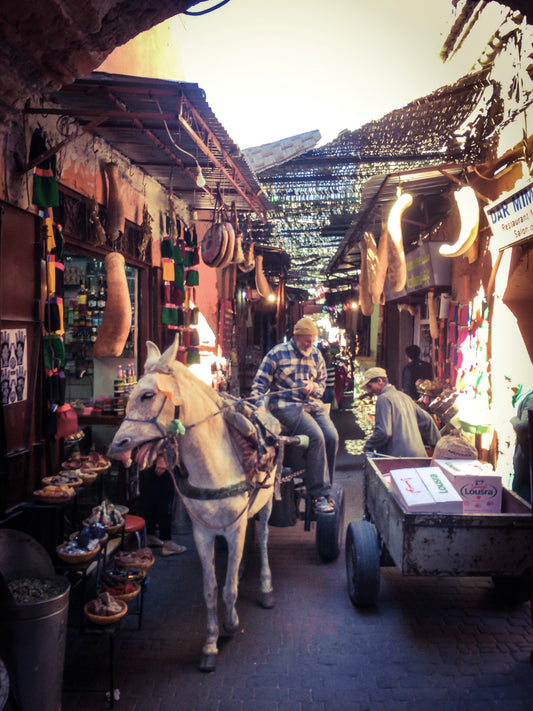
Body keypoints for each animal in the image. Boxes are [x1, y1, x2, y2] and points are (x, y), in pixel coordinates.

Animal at [106, 340, 276, 672]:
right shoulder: (202, 533)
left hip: (267, 502)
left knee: (263, 539)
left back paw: (265, 587)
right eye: (129, 395)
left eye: (147, 395)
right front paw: (210, 645)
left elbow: (228, 587)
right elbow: (211, 589)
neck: (214, 466)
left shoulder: (235, 527)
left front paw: (231, 624)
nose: (115, 448)